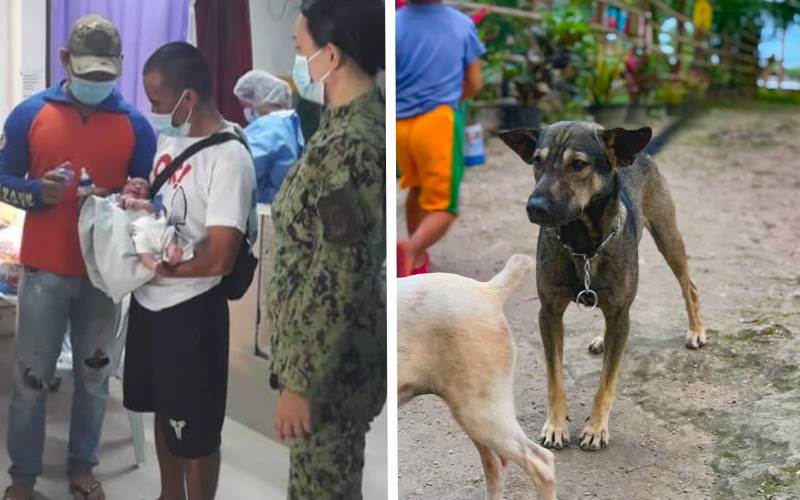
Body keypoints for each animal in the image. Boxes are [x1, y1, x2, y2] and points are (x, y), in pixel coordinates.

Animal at [500, 122, 708, 454]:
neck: (583, 241)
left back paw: (696, 330)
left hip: (668, 236)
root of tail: (639, 152)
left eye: (578, 164)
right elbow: (554, 379)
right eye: (536, 161)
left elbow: (606, 383)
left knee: (689, 285)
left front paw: (596, 428)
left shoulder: (621, 313)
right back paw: (602, 338)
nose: (534, 208)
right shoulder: (549, 313)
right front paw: (556, 426)